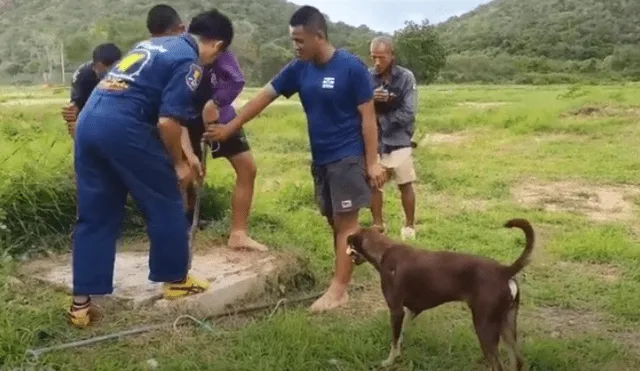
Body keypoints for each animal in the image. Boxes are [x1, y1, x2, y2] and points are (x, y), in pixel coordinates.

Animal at [344, 219, 536, 370]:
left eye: (351, 246)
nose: (349, 255)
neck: (384, 251)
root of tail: (504, 271)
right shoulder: (411, 310)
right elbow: (400, 338)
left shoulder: (396, 310)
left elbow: (394, 340)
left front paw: (389, 362)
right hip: (507, 323)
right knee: (518, 361)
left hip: (484, 325)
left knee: (497, 365)